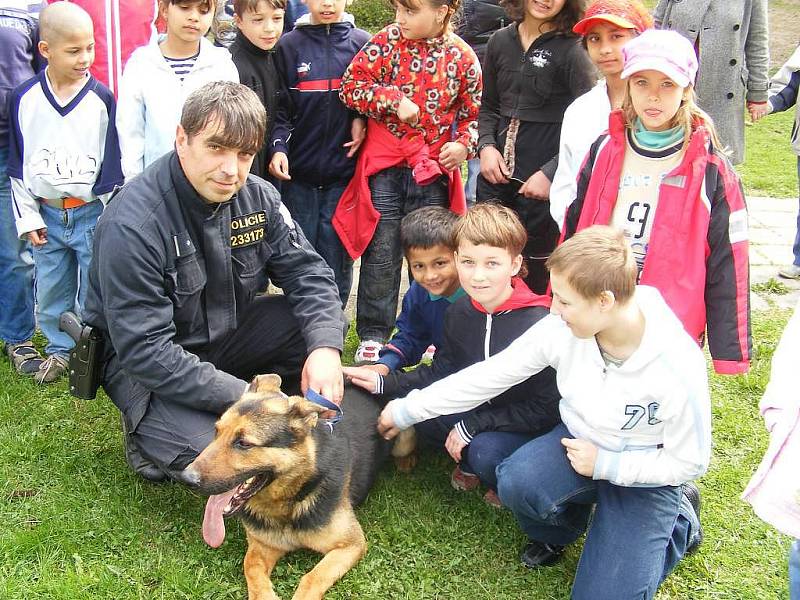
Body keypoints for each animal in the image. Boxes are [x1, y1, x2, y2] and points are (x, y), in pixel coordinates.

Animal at [184, 376, 416, 600]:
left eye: (244, 443)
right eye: (216, 431)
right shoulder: (263, 545)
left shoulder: (352, 544)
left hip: (402, 439)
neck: (289, 503)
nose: (186, 478)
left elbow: (312, 577)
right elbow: (250, 565)